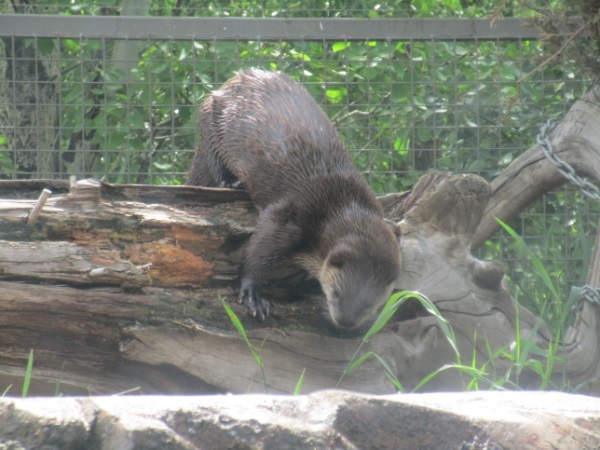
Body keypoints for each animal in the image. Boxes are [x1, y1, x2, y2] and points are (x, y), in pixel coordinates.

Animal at [190, 69, 400, 330]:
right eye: (337, 293)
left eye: (371, 304)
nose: (346, 322)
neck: (343, 202)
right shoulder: (290, 216)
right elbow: (258, 251)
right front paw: (253, 296)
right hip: (212, 119)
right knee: (213, 160)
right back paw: (232, 182)